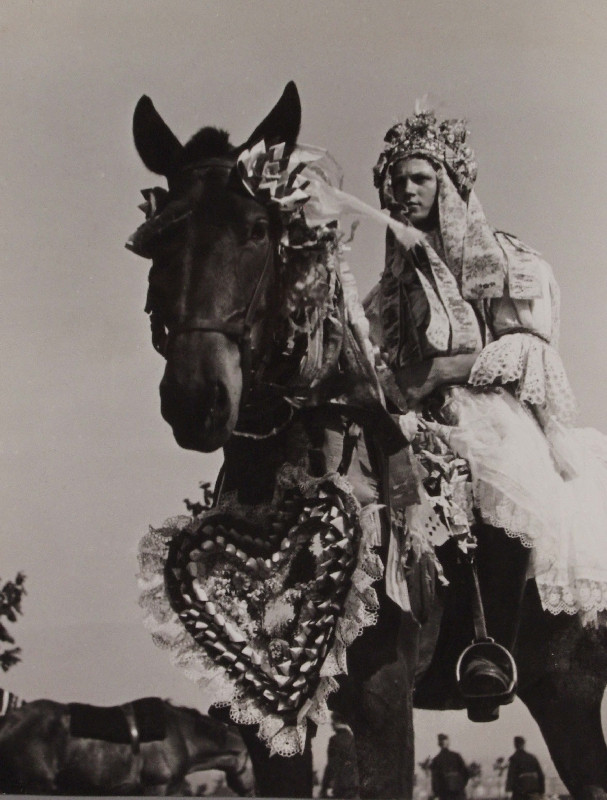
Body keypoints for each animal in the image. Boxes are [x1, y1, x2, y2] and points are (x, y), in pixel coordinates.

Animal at [128, 83, 607, 800]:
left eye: (258, 230)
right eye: (159, 239)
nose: (195, 396)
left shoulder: (381, 696)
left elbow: (521, 340)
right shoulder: (266, 718)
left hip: (567, 695)